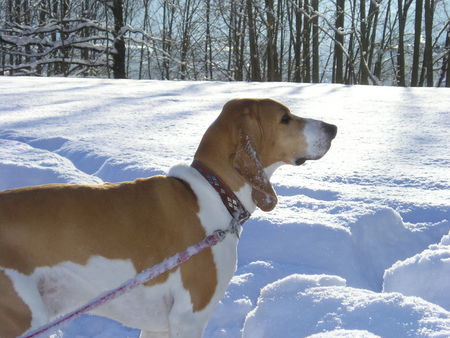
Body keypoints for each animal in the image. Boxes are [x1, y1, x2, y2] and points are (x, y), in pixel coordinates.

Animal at [0, 98, 336, 338]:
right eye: (285, 118)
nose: (333, 127)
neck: (215, 191)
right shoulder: (189, 319)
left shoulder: (157, 327)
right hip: (24, 317)